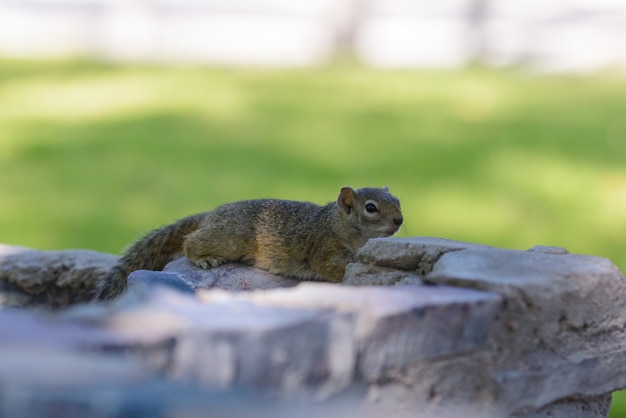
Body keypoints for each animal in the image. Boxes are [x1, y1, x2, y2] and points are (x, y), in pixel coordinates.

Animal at [95, 186, 402, 300]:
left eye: (397, 200)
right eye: (371, 208)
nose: (399, 220)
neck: (336, 223)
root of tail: (213, 213)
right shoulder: (324, 250)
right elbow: (332, 269)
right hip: (229, 239)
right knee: (190, 241)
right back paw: (203, 258)